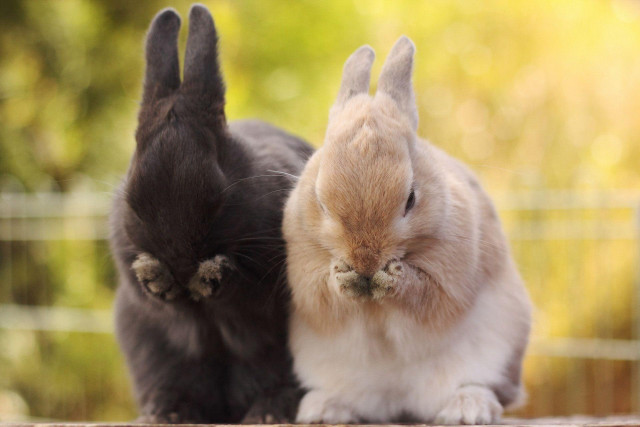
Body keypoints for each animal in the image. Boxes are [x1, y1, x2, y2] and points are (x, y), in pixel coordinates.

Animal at [110, 4, 313, 423]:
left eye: (217, 198)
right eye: (134, 203)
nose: (180, 263)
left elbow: (246, 293)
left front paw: (210, 276)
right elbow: (153, 296)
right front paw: (156, 277)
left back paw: (269, 412)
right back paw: (166, 412)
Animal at [282, 36, 532, 425]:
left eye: (411, 198)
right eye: (321, 202)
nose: (365, 261)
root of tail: (397, 402)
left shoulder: (449, 278)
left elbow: (425, 294)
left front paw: (391, 278)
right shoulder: (305, 276)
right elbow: (323, 296)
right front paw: (344, 278)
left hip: (498, 350)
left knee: (484, 388)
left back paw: (467, 409)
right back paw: (323, 410)